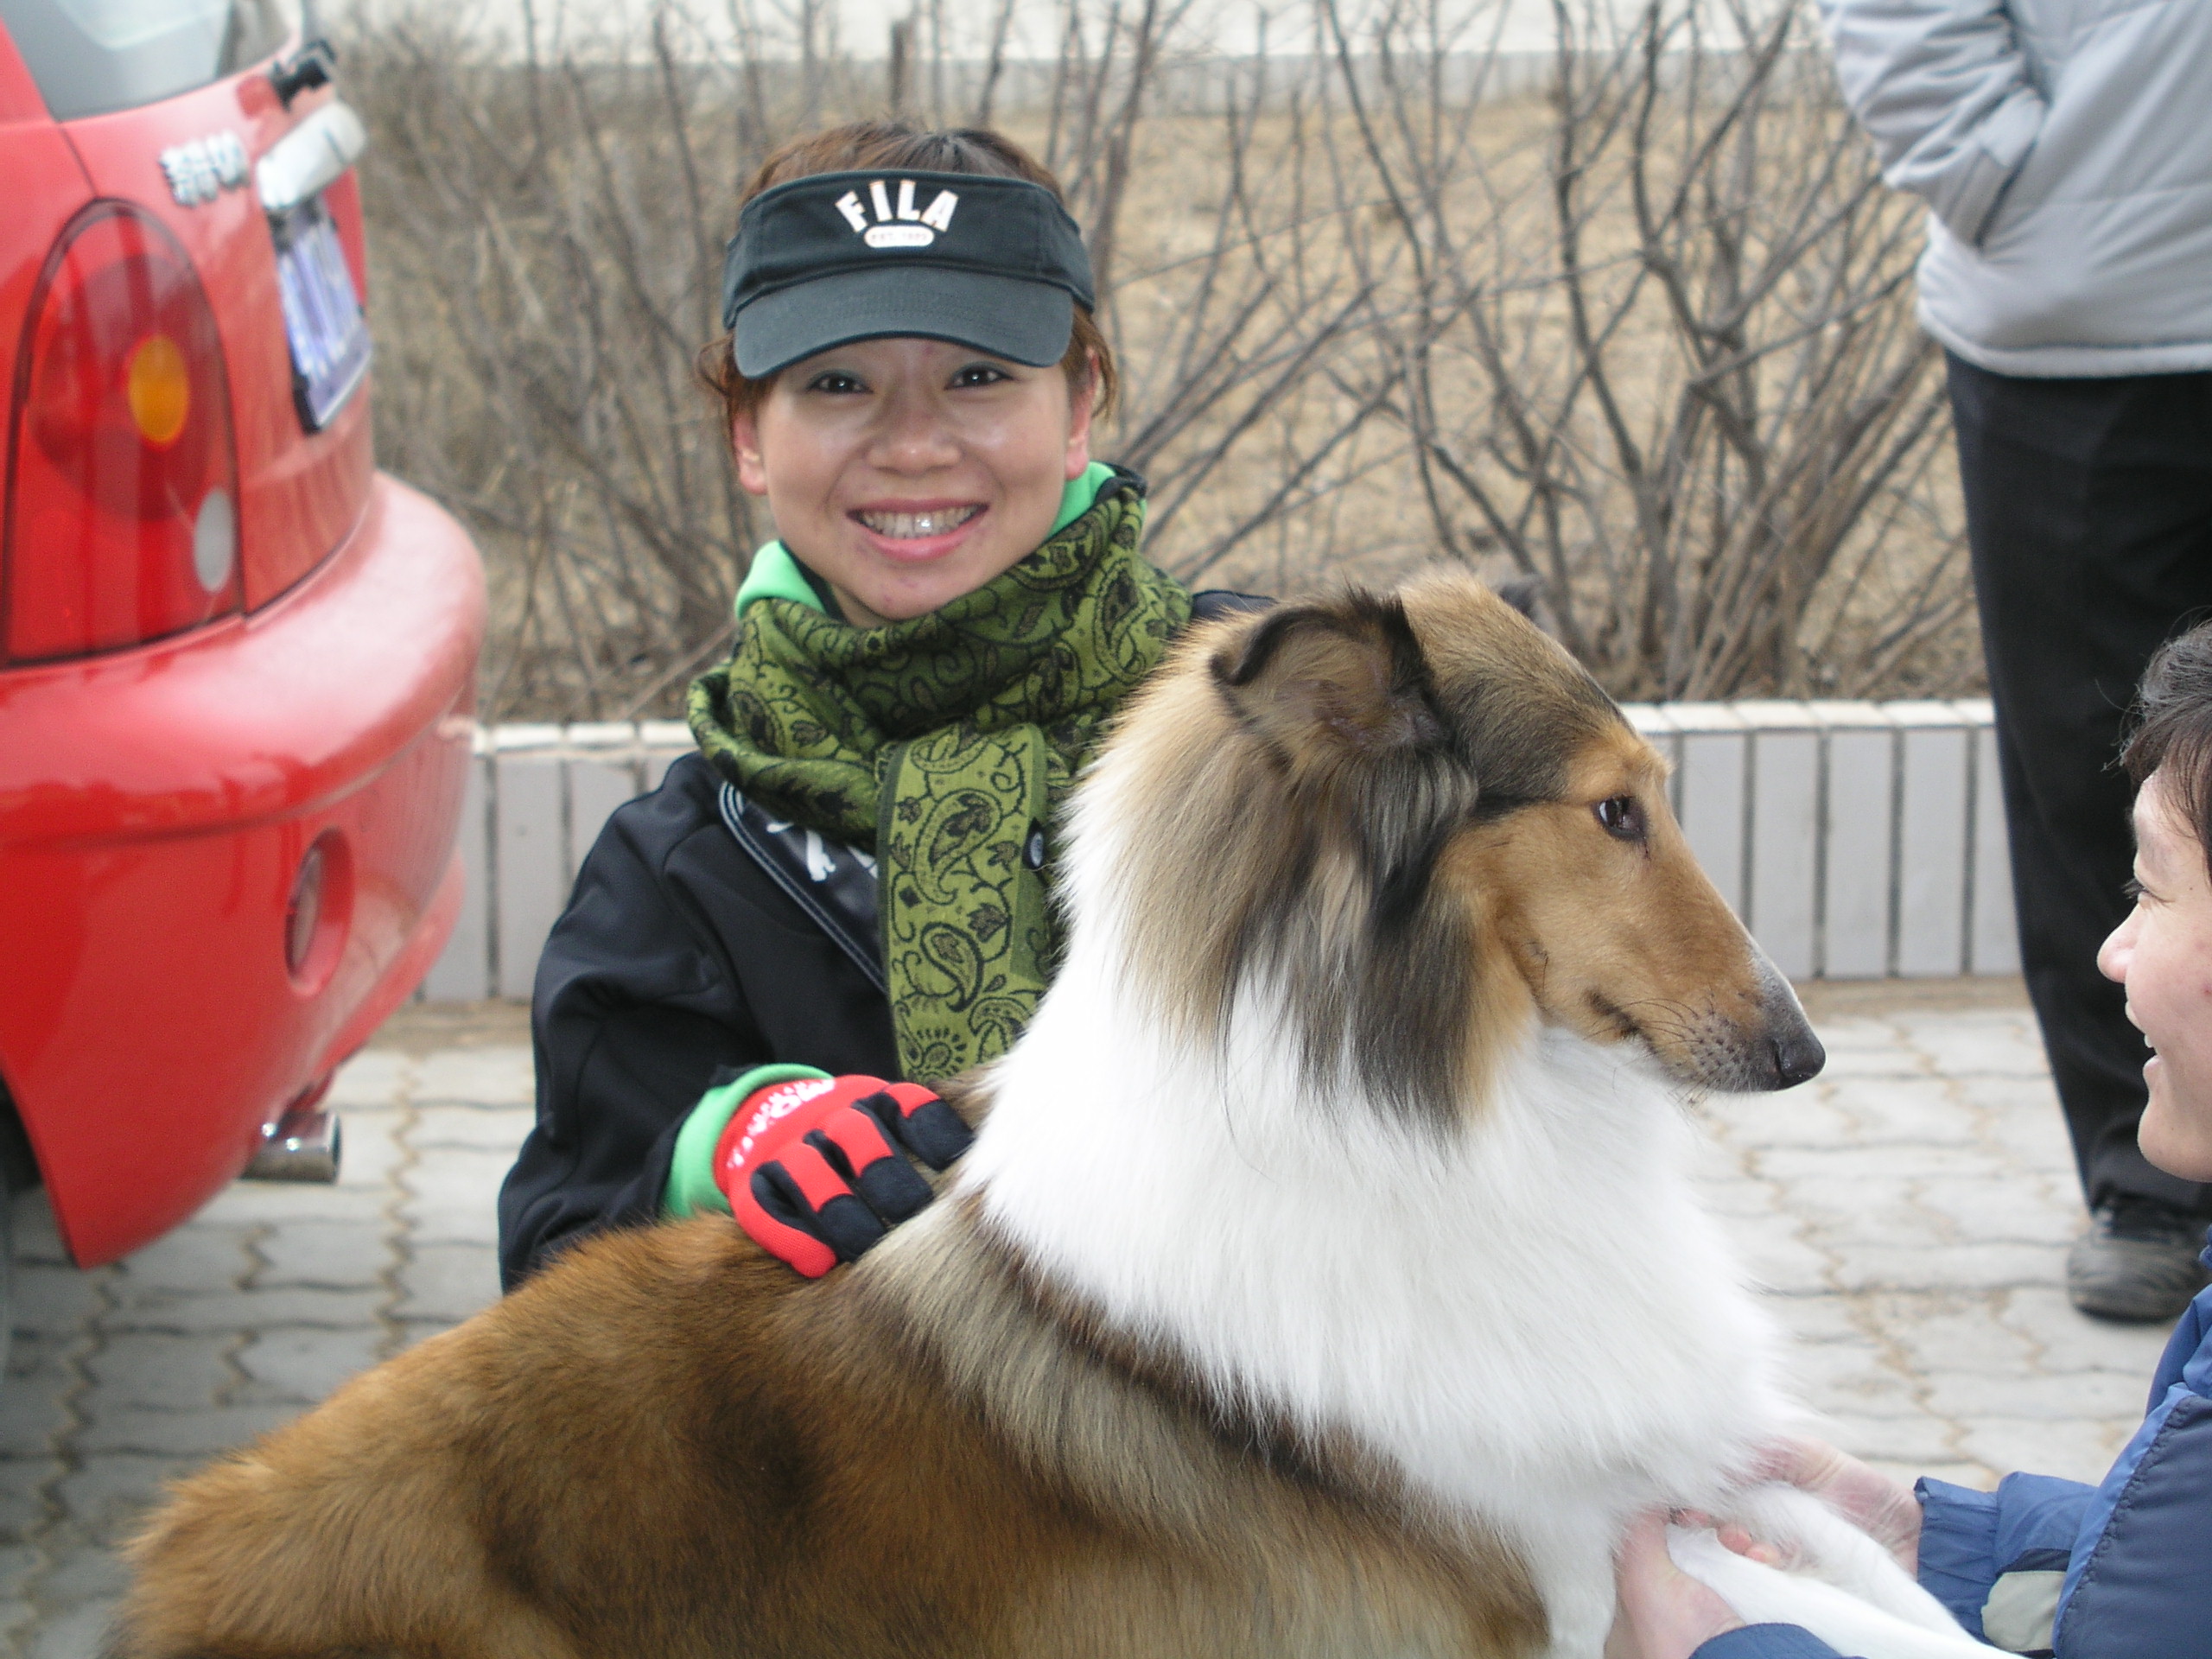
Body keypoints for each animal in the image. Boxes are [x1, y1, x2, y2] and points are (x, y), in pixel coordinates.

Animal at [107, 575, 1991, 1659]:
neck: (1416, 1110)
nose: (1798, 1052)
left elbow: (1882, 1572)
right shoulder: (1548, 1565)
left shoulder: (1676, 1481)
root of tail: (172, 1568)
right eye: (1612, 811)